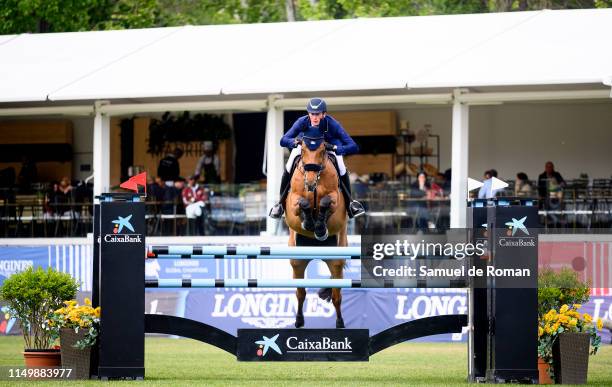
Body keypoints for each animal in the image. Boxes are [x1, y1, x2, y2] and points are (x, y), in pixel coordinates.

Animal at [284, 137, 346, 330]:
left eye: (322, 151)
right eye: (302, 150)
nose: (310, 183)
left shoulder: (335, 199)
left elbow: (326, 202)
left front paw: (319, 227)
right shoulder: (293, 202)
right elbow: (302, 203)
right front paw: (309, 222)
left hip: (336, 260)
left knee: (336, 296)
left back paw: (340, 323)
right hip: (297, 261)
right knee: (300, 293)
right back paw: (298, 320)